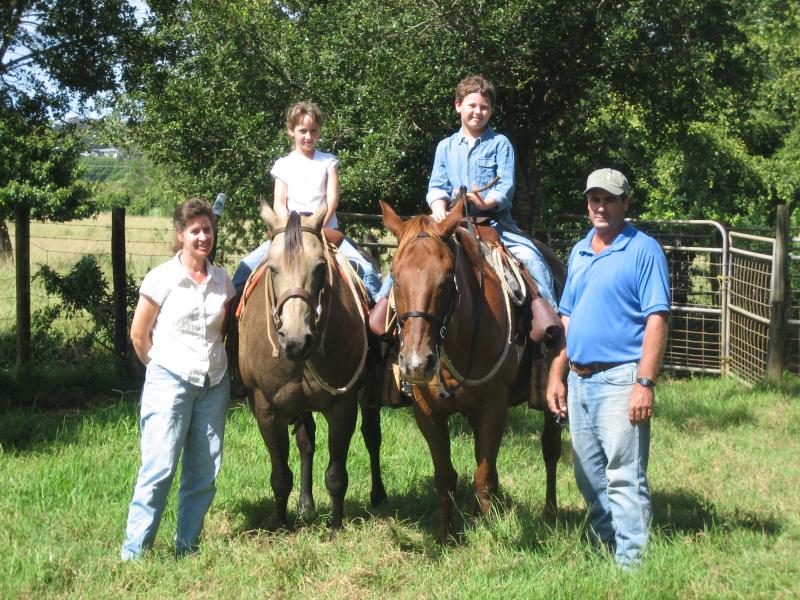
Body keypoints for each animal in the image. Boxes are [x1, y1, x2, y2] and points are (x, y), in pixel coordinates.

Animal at [238, 199, 388, 528]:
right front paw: (280, 524)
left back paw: (379, 494)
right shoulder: (265, 409)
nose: (295, 339)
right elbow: (281, 475)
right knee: (306, 443)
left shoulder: (343, 406)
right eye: (272, 268)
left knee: (372, 437)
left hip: (368, 393)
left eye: (320, 267)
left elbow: (336, 476)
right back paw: (306, 505)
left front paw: (335, 527)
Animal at [380, 198, 564, 544]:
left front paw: (491, 535)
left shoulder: (495, 406)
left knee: (551, 449)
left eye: (446, 278)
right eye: (395, 277)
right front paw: (445, 536)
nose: (416, 364)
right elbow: (445, 476)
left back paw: (550, 512)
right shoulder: (427, 412)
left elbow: (484, 476)